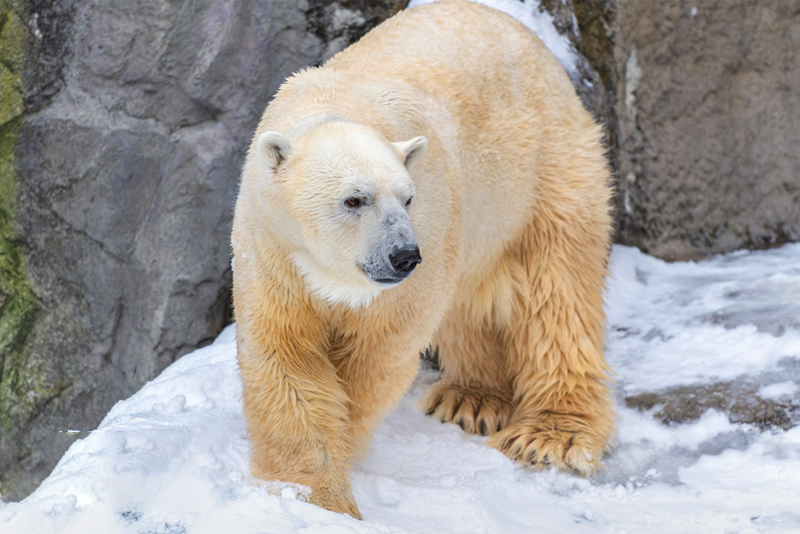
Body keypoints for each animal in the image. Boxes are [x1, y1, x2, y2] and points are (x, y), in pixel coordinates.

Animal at [230, 0, 612, 520]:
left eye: (407, 198)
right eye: (354, 199)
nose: (404, 257)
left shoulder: (427, 227)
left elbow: (379, 351)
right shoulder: (272, 250)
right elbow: (285, 356)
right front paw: (315, 496)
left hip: (544, 170)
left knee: (557, 291)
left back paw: (549, 436)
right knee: (469, 300)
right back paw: (470, 398)